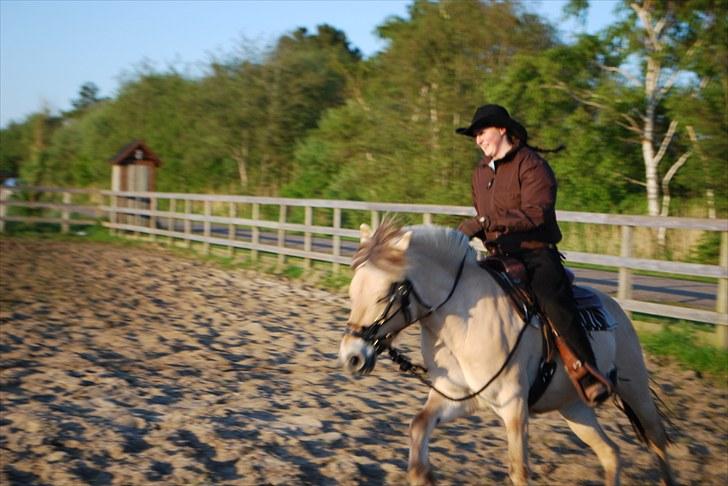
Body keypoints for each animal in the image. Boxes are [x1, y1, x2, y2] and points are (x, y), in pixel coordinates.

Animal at [338, 223, 672, 486]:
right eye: (353, 292)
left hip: (635, 390)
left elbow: (519, 471)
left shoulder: (513, 406)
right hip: (575, 408)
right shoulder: (458, 396)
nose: (351, 357)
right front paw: (425, 474)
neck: (464, 319)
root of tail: (617, 309)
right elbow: (419, 428)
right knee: (611, 454)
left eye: (384, 294)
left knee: (657, 441)